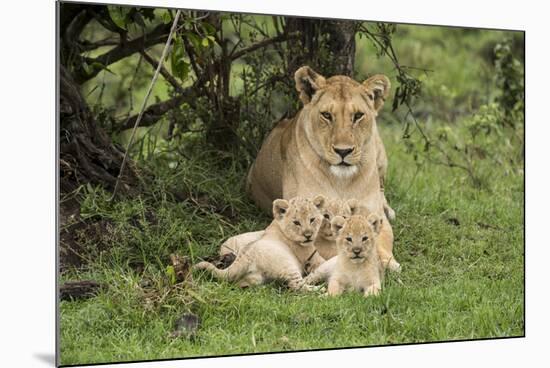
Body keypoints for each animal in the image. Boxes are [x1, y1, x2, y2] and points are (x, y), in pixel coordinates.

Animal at [248, 65, 398, 270]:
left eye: (358, 116)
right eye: (327, 115)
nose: (343, 151)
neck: (343, 181)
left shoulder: (374, 215)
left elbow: (381, 239)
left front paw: (388, 262)